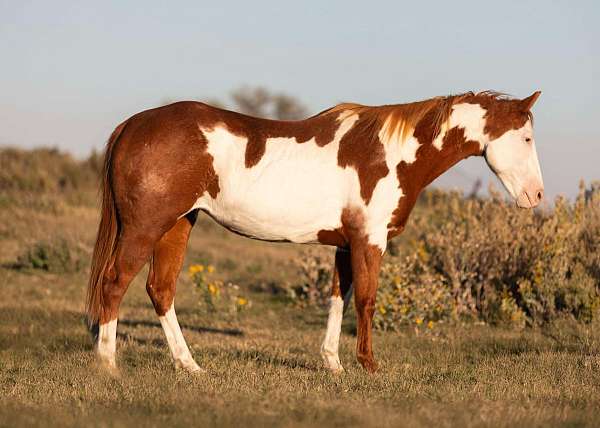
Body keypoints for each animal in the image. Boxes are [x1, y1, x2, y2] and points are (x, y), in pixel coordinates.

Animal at [85, 91, 544, 374]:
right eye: (526, 137)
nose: (536, 195)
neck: (392, 155)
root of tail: (133, 125)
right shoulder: (369, 241)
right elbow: (366, 301)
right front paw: (368, 365)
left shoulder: (344, 244)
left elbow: (338, 300)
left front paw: (333, 363)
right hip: (146, 227)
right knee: (114, 282)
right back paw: (108, 364)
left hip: (178, 224)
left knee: (160, 290)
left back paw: (189, 365)